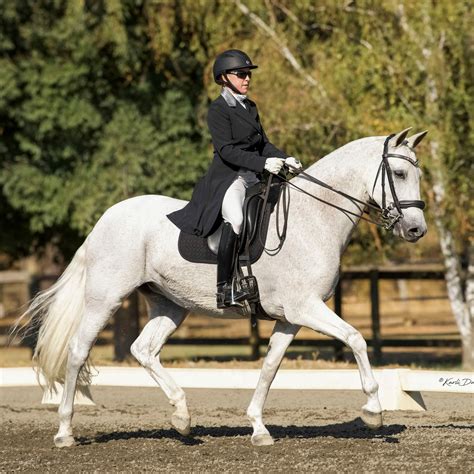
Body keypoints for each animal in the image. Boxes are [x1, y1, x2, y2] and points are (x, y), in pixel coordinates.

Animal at [24, 128, 428, 446]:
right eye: (398, 172)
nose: (416, 230)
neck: (313, 219)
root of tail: (106, 217)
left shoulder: (290, 318)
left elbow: (270, 367)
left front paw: (258, 428)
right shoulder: (306, 308)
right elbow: (356, 338)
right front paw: (373, 409)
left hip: (171, 304)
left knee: (144, 349)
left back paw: (182, 417)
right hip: (105, 298)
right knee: (78, 351)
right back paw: (65, 431)